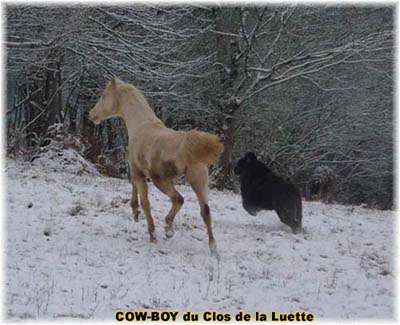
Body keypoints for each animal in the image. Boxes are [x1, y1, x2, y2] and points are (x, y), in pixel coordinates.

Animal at [88, 77, 222, 254]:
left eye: (104, 96)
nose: (91, 114)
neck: (141, 125)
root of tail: (186, 145)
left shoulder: (139, 174)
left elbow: (145, 203)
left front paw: (152, 234)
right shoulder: (137, 172)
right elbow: (134, 187)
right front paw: (135, 212)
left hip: (162, 181)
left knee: (178, 199)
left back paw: (168, 229)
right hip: (198, 180)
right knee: (205, 211)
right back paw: (213, 249)